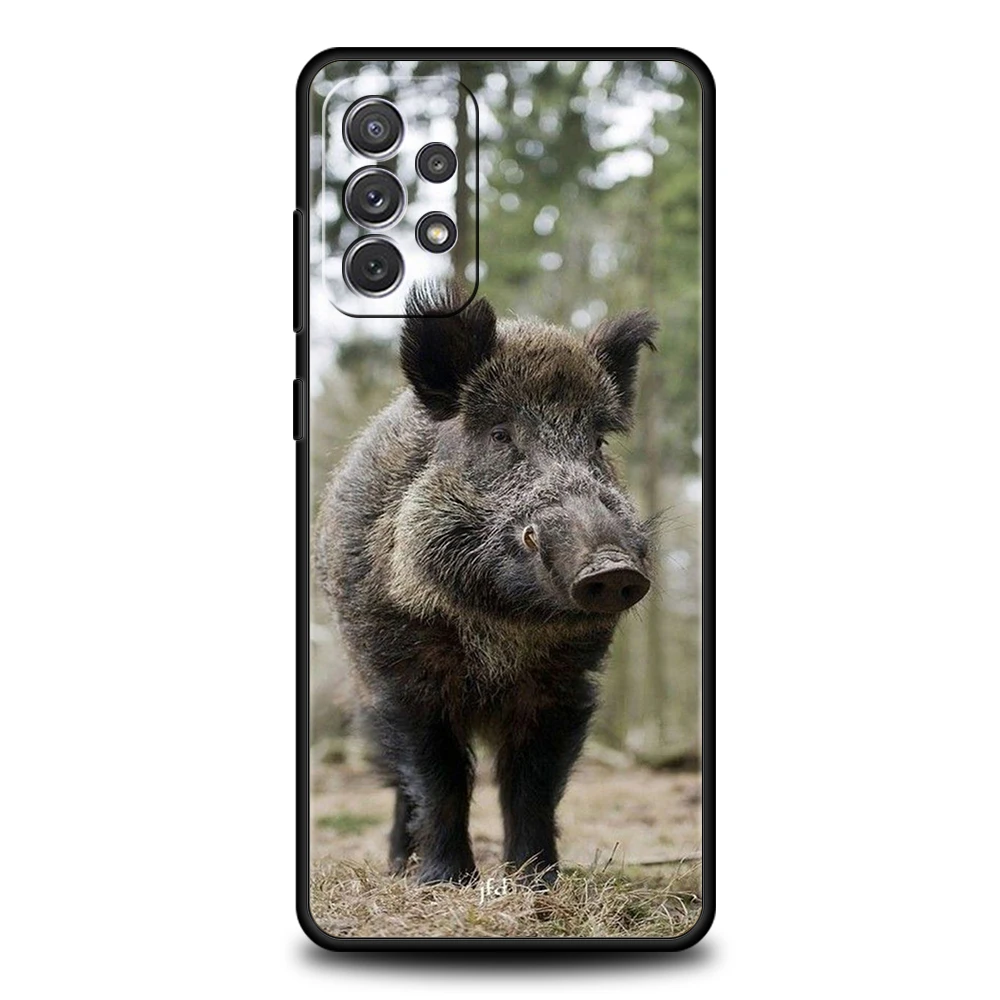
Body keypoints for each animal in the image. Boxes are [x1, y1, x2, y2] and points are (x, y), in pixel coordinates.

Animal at [314, 281, 657, 886]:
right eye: (500, 434)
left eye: (596, 443)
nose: (612, 566)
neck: (500, 629)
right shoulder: (402, 676)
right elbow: (439, 778)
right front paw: (445, 881)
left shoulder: (565, 684)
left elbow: (533, 784)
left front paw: (536, 880)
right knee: (400, 784)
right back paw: (398, 867)